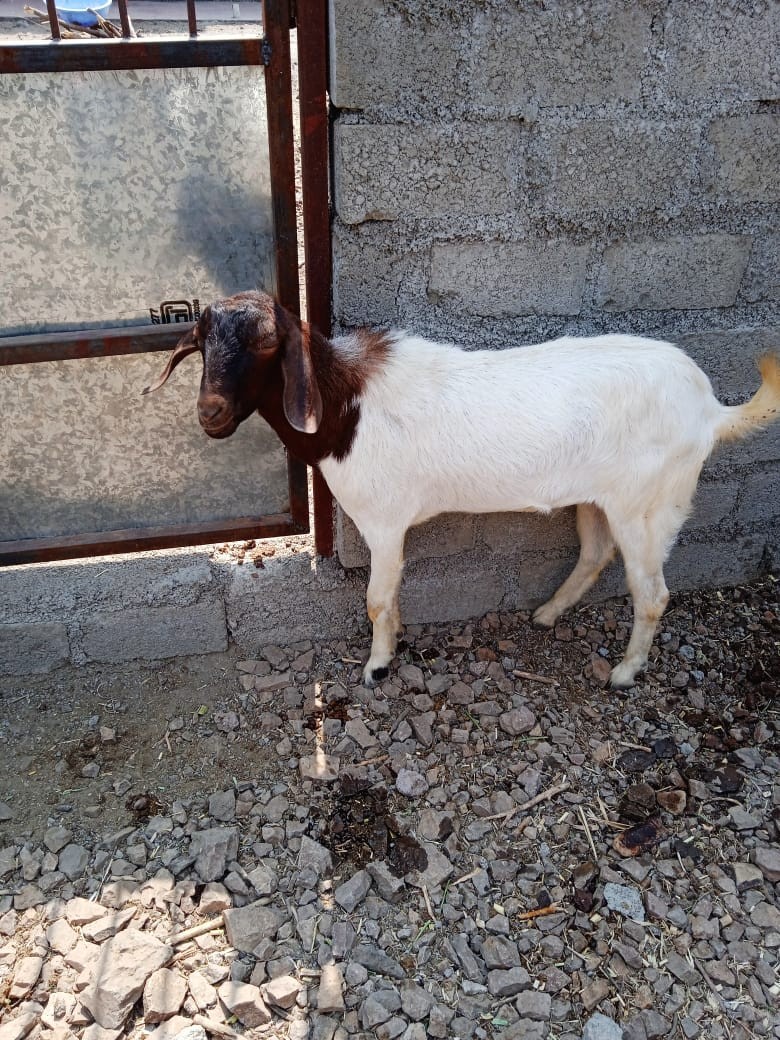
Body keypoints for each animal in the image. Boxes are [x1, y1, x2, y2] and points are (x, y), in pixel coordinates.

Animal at [144, 290, 780, 689]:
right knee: (596, 553)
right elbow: (392, 594)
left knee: (652, 593)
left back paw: (625, 674)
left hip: (645, 505)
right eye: (201, 341)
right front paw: (396, 638)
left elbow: (376, 597)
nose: (210, 414)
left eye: (267, 344)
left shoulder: (384, 521)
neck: (345, 405)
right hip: (598, 499)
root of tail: (711, 410)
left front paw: (377, 665)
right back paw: (547, 614)